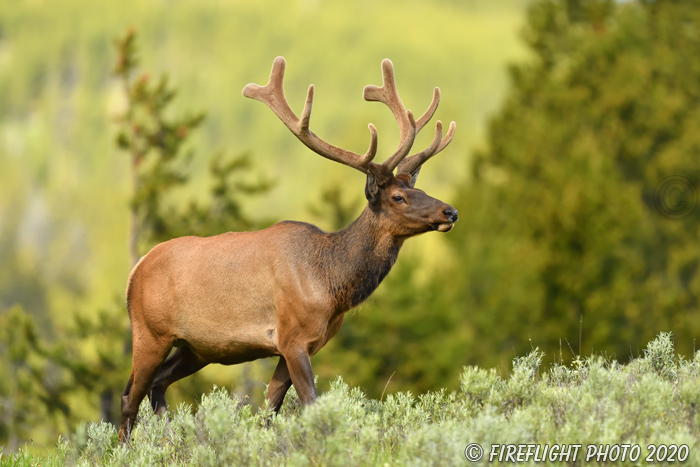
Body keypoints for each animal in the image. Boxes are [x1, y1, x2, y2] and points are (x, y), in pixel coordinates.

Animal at [119, 55, 460, 442]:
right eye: (398, 197)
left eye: (419, 188)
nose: (450, 211)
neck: (331, 283)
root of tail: (136, 270)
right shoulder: (292, 337)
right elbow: (310, 403)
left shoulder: (302, 343)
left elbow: (270, 408)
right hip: (149, 332)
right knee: (130, 396)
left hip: (196, 347)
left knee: (156, 386)